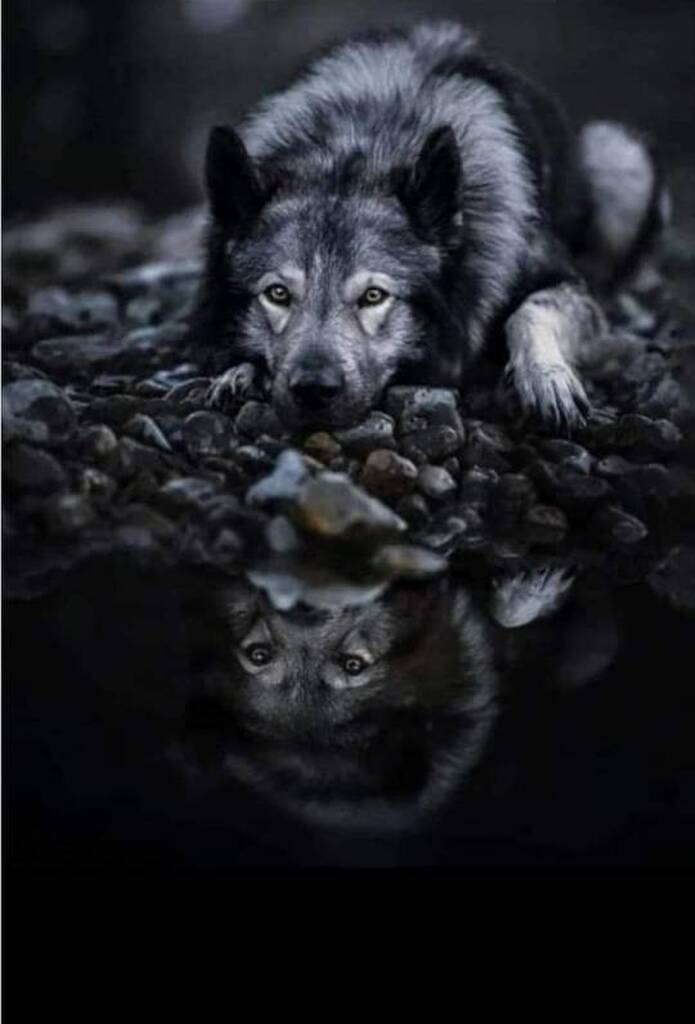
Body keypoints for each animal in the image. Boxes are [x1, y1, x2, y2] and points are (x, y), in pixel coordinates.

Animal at [193, 21, 667, 430]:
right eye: (277, 294)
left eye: (373, 296)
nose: (313, 390)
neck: (362, 145)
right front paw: (241, 372)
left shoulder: (566, 284)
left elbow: (529, 311)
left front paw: (546, 377)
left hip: (620, 159)